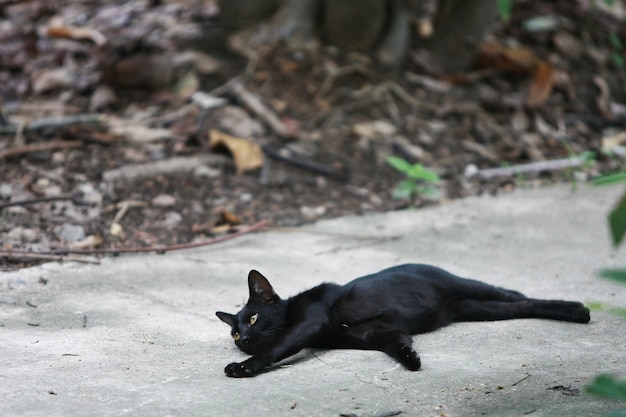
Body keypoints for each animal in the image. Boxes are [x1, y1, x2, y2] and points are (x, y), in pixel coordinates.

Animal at [216, 264, 588, 376]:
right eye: (233, 334)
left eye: (253, 318)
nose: (243, 340)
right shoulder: (379, 333)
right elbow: (398, 343)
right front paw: (412, 359)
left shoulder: (309, 323)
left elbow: (278, 346)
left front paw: (245, 367)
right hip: (478, 309)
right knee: (519, 305)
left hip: (469, 286)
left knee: (515, 294)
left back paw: (577, 310)